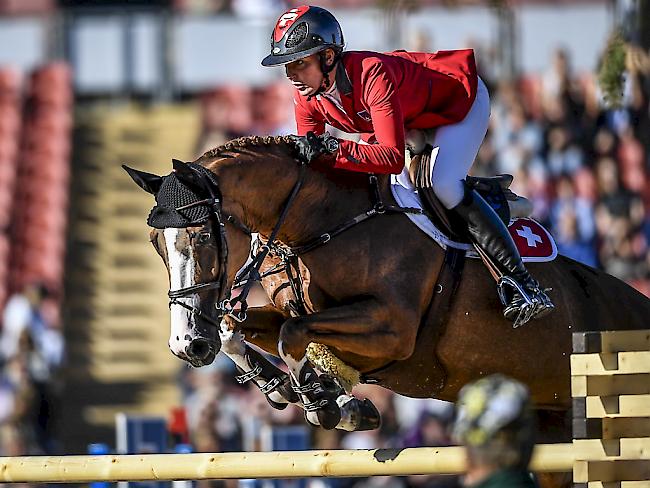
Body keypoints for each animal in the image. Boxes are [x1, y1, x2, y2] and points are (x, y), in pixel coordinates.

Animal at [123, 133, 648, 458]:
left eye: (201, 237)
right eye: (156, 244)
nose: (187, 345)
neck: (318, 222)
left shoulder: (392, 331)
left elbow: (294, 334)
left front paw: (329, 400)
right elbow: (240, 330)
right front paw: (288, 388)